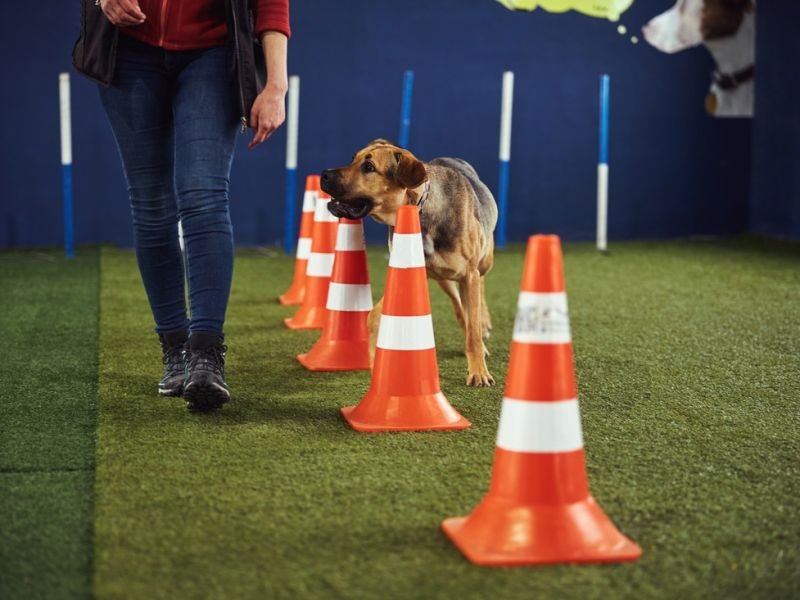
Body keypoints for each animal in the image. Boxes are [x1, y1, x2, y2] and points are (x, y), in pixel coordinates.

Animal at [320, 139, 496, 386]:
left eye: (369, 167)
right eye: (353, 159)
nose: (324, 174)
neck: (420, 212)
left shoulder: (468, 273)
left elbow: (474, 328)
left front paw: (479, 372)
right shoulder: (407, 271)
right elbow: (373, 316)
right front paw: (375, 361)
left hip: (483, 261)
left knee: (480, 287)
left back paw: (484, 324)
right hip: (444, 278)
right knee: (460, 306)